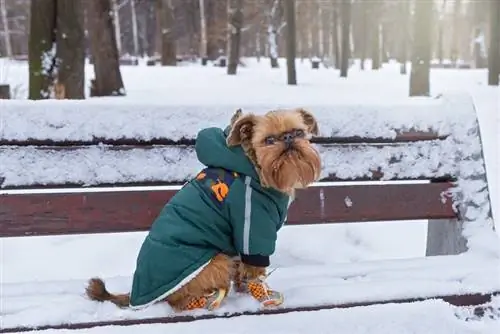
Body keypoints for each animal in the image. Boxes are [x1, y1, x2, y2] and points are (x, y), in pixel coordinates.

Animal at [85, 108, 320, 312]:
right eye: (269, 140)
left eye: (299, 132)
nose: (288, 139)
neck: (254, 167)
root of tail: (136, 294)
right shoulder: (252, 225)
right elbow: (254, 269)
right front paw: (261, 294)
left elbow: (242, 270)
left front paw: (245, 290)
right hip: (216, 261)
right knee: (177, 301)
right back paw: (206, 300)